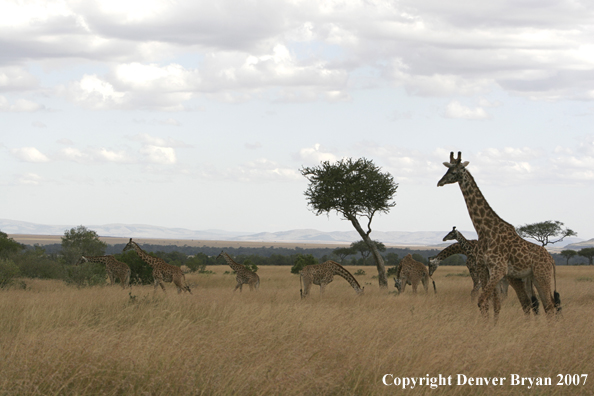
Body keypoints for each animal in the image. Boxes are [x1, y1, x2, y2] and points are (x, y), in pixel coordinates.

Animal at [434, 150, 560, 320]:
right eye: (447, 170)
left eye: (453, 172)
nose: (439, 182)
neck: (485, 230)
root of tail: (551, 260)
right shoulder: (484, 268)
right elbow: (492, 304)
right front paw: (490, 324)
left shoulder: (498, 270)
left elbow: (482, 301)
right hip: (533, 277)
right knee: (542, 304)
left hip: (542, 276)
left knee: (548, 305)